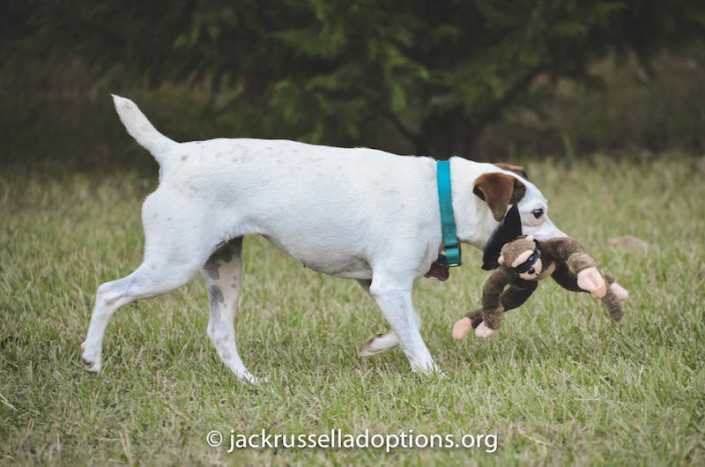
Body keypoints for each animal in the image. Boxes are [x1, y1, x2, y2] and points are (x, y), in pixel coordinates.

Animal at [82, 96, 568, 384]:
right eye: (537, 213)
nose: (563, 245)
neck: (439, 196)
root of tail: (174, 153)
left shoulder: (376, 283)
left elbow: (407, 325)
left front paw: (377, 345)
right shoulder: (388, 283)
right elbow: (416, 339)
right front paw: (433, 378)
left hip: (224, 268)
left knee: (219, 331)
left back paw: (249, 382)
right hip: (173, 264)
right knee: (108, 292)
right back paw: (91, 358)